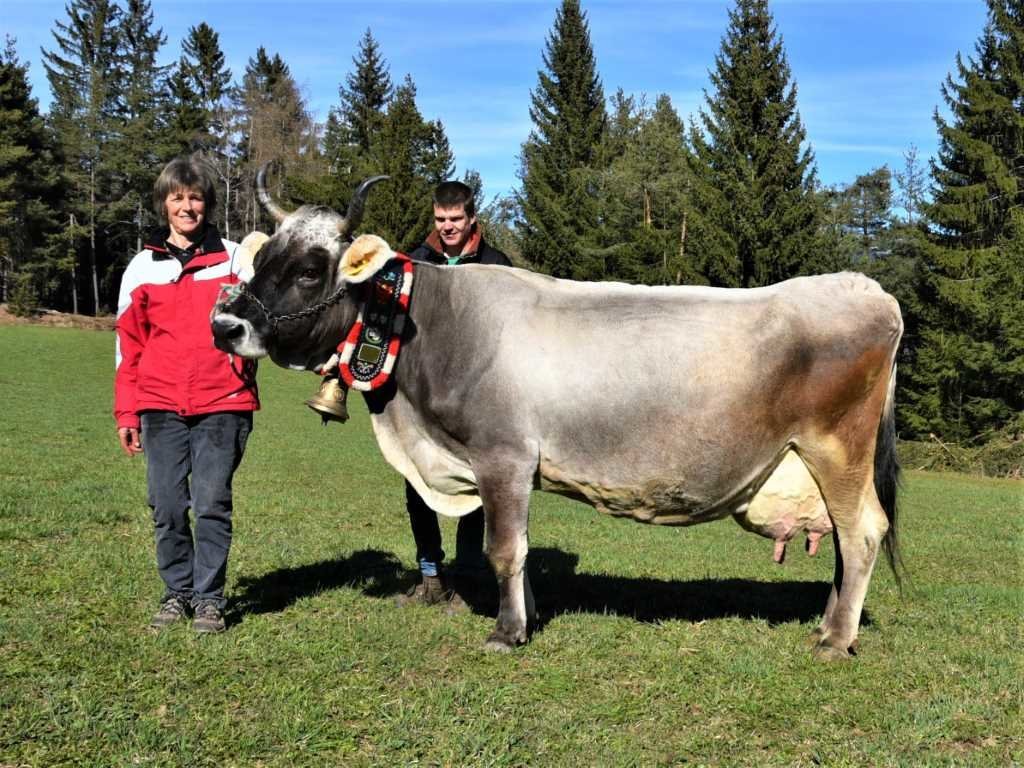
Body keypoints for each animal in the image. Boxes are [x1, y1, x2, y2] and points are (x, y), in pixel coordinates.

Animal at [211, 173, 901, 663]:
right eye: (260, 260)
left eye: (308, 270)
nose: (225, 324)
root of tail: (867, 288)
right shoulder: (507, 465)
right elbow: (515, 546)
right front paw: (530, 614)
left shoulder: (502, 454)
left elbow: (503, 548)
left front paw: (507, 630)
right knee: (845, 545)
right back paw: (831, 623)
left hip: (837, 449)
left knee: (863, 533)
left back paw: (834, 640)